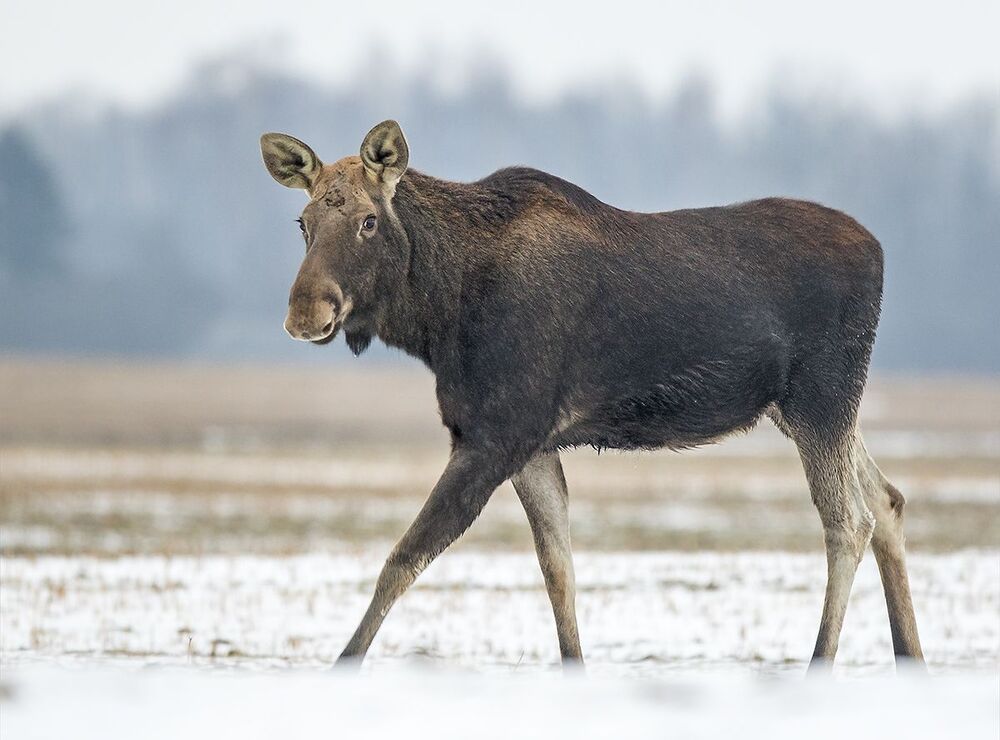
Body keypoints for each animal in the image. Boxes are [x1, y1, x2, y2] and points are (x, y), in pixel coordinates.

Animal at [259, 120, 924, 671]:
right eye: (303, 223)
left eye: (368, 220)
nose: (304, 313)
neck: (439, 312)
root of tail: (880, 251)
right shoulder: (527, 445)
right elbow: (559, 569)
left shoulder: (496, 436)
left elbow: (401, 559)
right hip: (806, 410)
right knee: (887, 500)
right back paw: (911, 657)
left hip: (822, 399)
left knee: (850, 521)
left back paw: (822, 663)